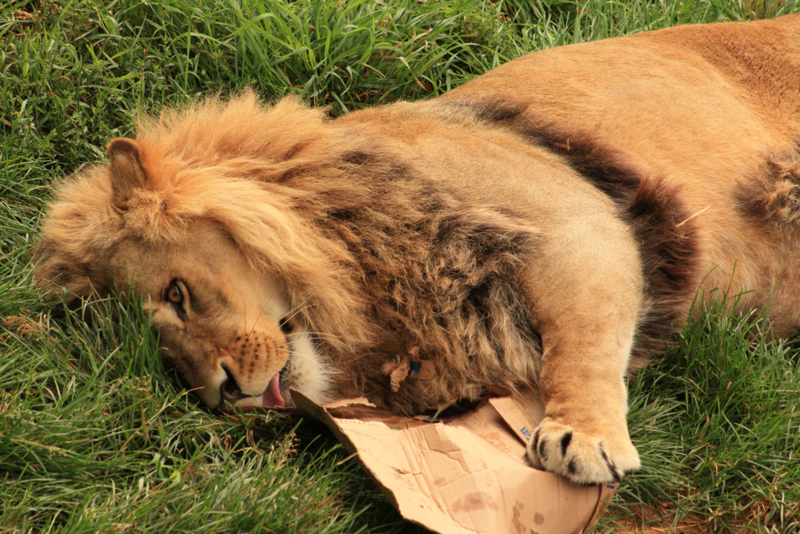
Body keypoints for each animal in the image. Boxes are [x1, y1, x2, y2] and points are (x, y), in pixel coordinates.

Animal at [34, 15, 800, 486]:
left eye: (176, 295)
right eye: (164, 356)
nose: (225, 398)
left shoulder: (586, 221)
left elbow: (585, 347)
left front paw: (581, 437)